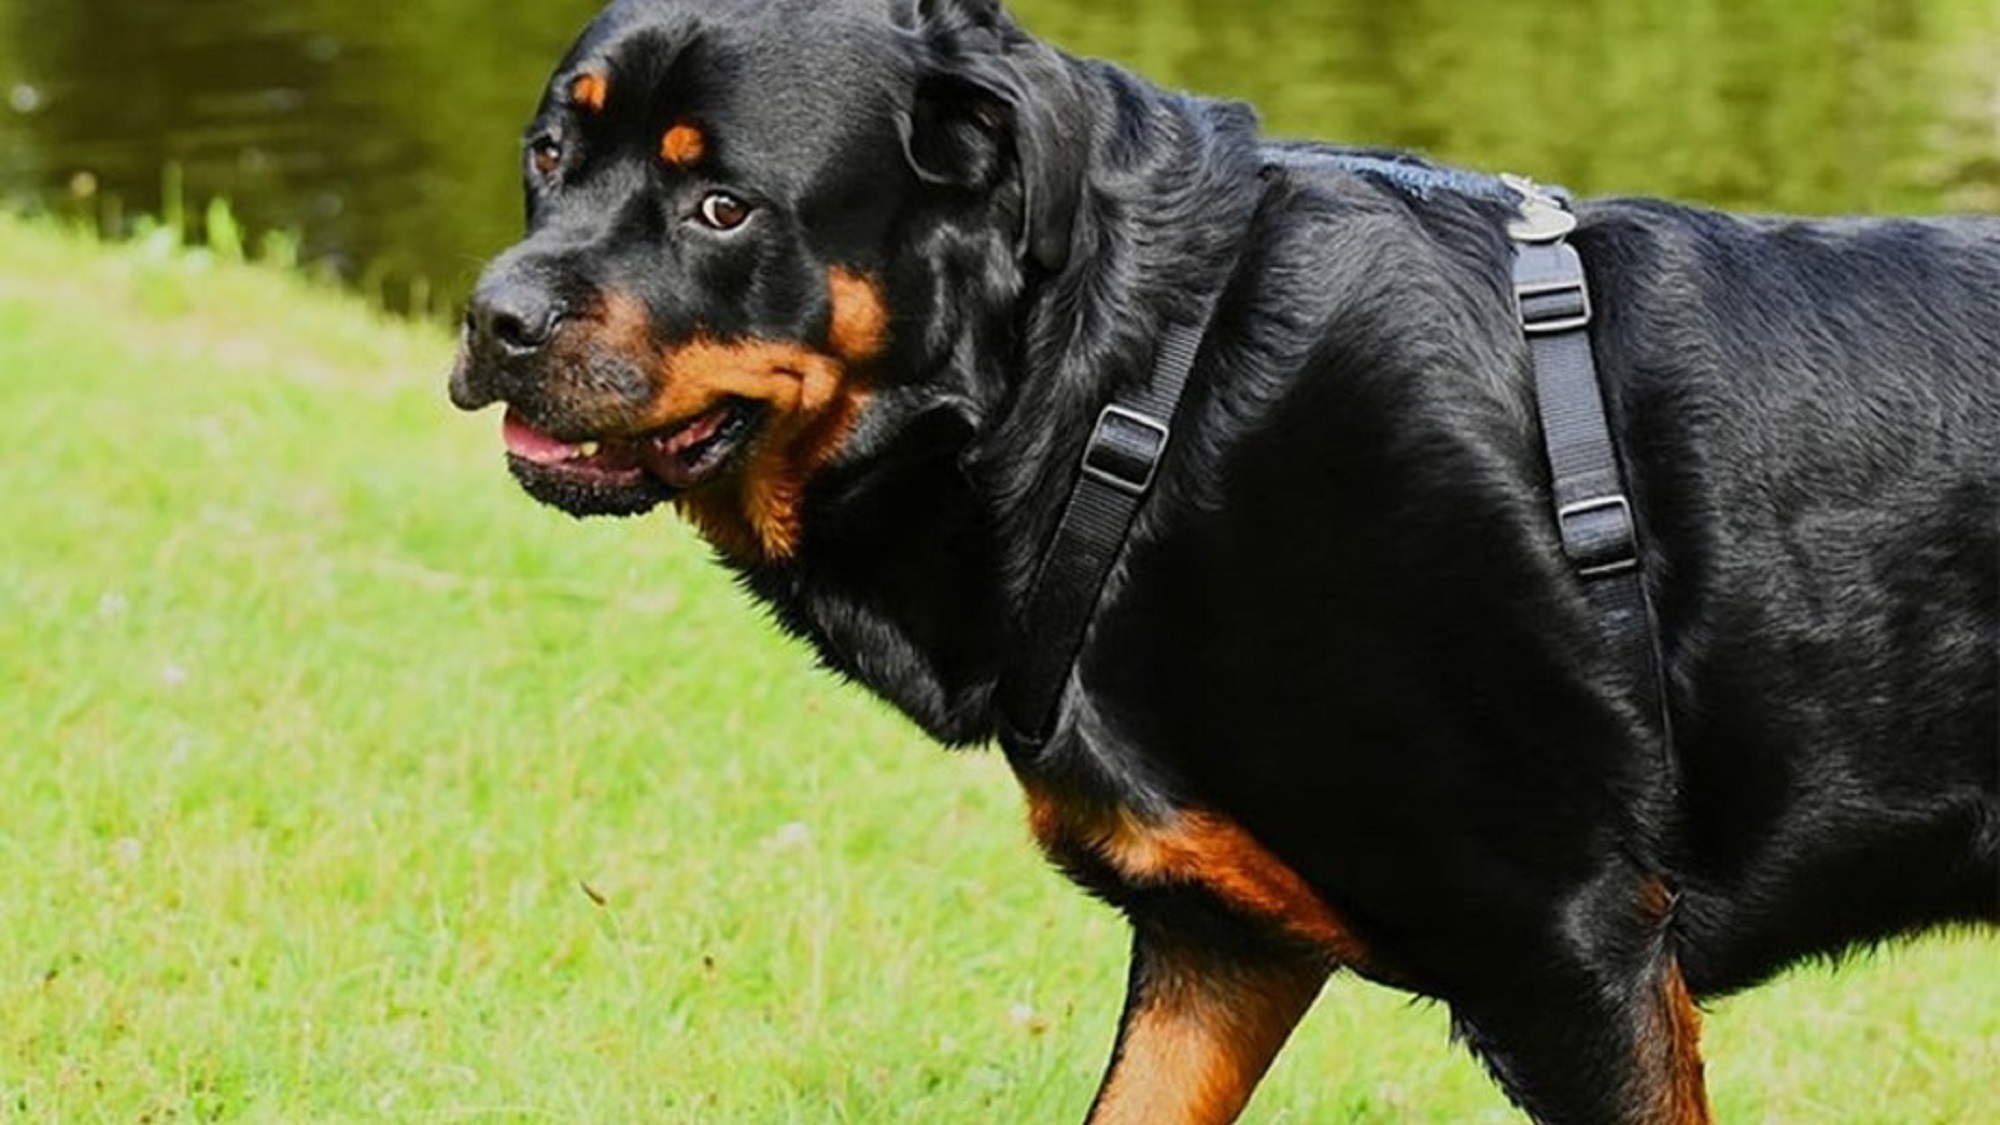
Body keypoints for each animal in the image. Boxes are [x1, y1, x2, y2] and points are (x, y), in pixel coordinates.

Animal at [454, 2, 2000, 1120]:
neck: (1130, 402)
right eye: (548, 156)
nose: (494, 318)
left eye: (720, 206)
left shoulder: (1573, 951)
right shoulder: (1220, 949)